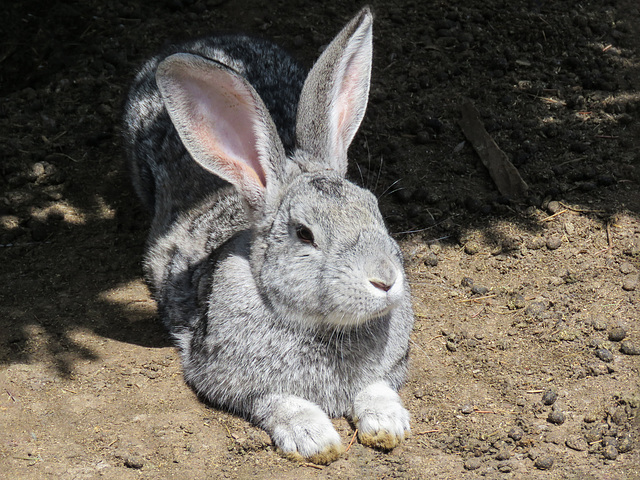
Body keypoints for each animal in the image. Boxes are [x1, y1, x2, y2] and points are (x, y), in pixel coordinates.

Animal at [124, 7, 416, 464]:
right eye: (304, 234)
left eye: (374, 210)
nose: (385, 281)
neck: (320, 325)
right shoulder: (231, 379)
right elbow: (279, 402)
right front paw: (316, 440)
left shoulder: (388, 367)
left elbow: (377, 387)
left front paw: (388, 426)